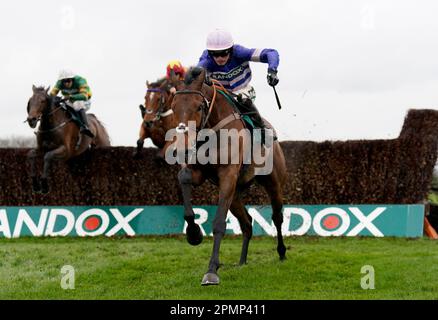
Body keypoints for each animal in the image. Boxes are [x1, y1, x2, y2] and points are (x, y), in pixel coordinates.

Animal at [169, 67, 288, 284]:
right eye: (173, 107)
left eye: (199, 107)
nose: (182, 148)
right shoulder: (199, 172)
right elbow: (184, 178)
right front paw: (193, 233)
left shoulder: (228, 175)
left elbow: (218, 223)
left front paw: (211, 271)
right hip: (235, 196)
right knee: (247, 223)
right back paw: (242, 262)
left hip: (273, 183)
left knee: (277, 217)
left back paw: (282, 252)